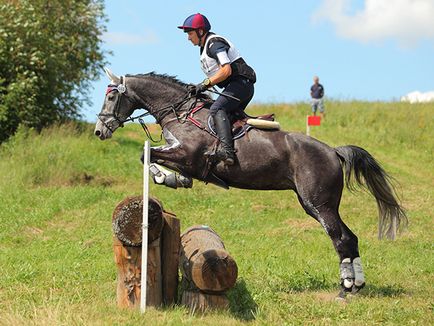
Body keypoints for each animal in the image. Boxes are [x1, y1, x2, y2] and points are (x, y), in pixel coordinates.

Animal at [94, 69, 406, 298]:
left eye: (111, 98)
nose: (99, 131)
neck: (180, 112)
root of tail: (333, 151)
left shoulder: (189, 155)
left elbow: (146, 154)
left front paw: (164, 176)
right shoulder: (181, 155)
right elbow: (150, 155)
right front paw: (174, 178)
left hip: (318, 203)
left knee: (340, 238)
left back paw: (346, 288)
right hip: (318, 204)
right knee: (349, 238)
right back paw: (356, 286)